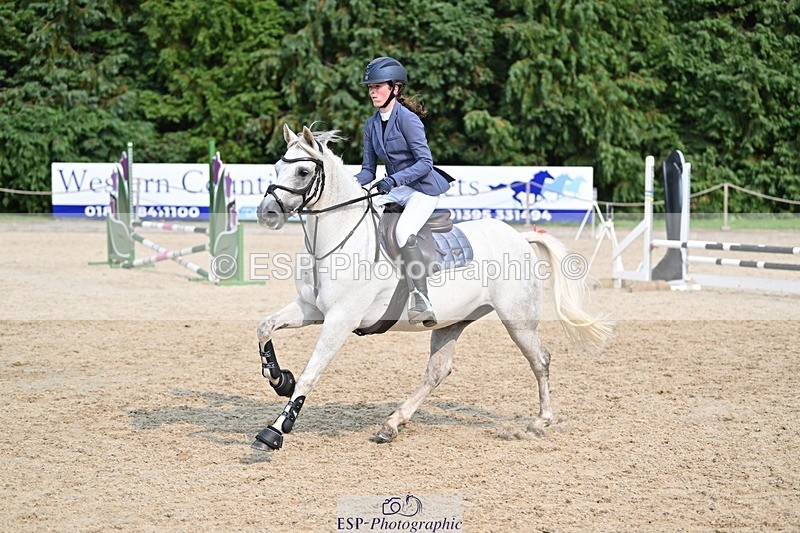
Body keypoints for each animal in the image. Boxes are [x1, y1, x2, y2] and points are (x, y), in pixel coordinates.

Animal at [251, 124, 612, 452]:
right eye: (276, 168)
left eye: (302, 171)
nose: (266, 213)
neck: (336, 239)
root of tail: (520, 236)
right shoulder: (311, 308)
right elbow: (264, 327)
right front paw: (280, 378)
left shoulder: (341, 319)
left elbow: (311, 373)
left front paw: (275, 430)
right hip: (453, 322)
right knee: (437, 372)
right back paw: (391, 424)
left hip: (518, 320)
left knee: (540, 359)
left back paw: (541, 421)